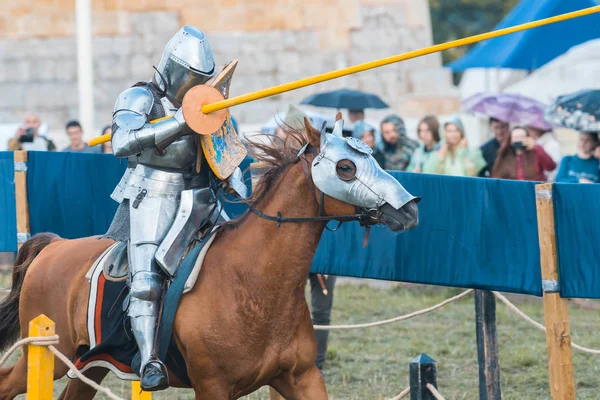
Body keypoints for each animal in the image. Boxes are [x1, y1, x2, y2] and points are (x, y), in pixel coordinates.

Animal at [0, 120, 418, 398]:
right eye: (345, 168)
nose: (411, 208)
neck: (253, 283)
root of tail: (53, 246)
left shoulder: (300, 377)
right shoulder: (213, 386)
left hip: (87, 363)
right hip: (50, 356)